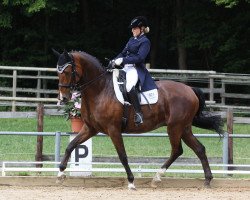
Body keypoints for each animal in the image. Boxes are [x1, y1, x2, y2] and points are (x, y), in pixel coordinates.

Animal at [53, 49, 225, 189]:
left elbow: (122, 155)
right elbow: (71, 146)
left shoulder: (113, 129)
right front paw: (60, 174)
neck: (100, 89)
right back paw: (207, 180)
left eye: (67, 71)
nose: (64, 98)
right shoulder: (90, 128)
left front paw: (131, 181)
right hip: (184, 128)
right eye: (58, 72)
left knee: (177, 150)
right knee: (199, 149)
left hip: (174, 127)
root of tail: (190, 89)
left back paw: (157, 178)